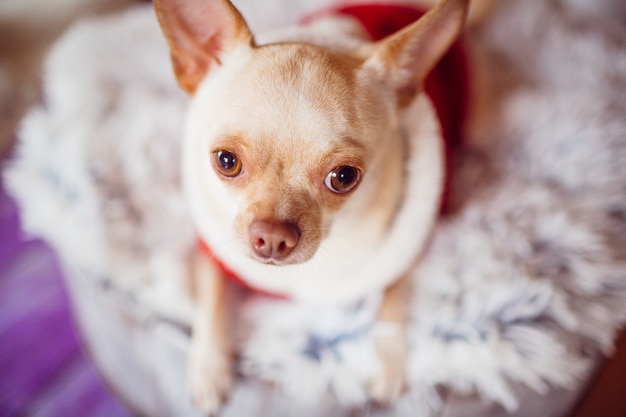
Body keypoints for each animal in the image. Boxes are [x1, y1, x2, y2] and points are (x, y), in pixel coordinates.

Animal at [152, 0, 468, 412]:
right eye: (225, 161)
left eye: (344, 177)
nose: (272, 237)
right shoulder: (212, 254)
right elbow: (212, 301)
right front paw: (208, 369)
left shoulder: (409, 244)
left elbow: (393, 298)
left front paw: (388, 363)